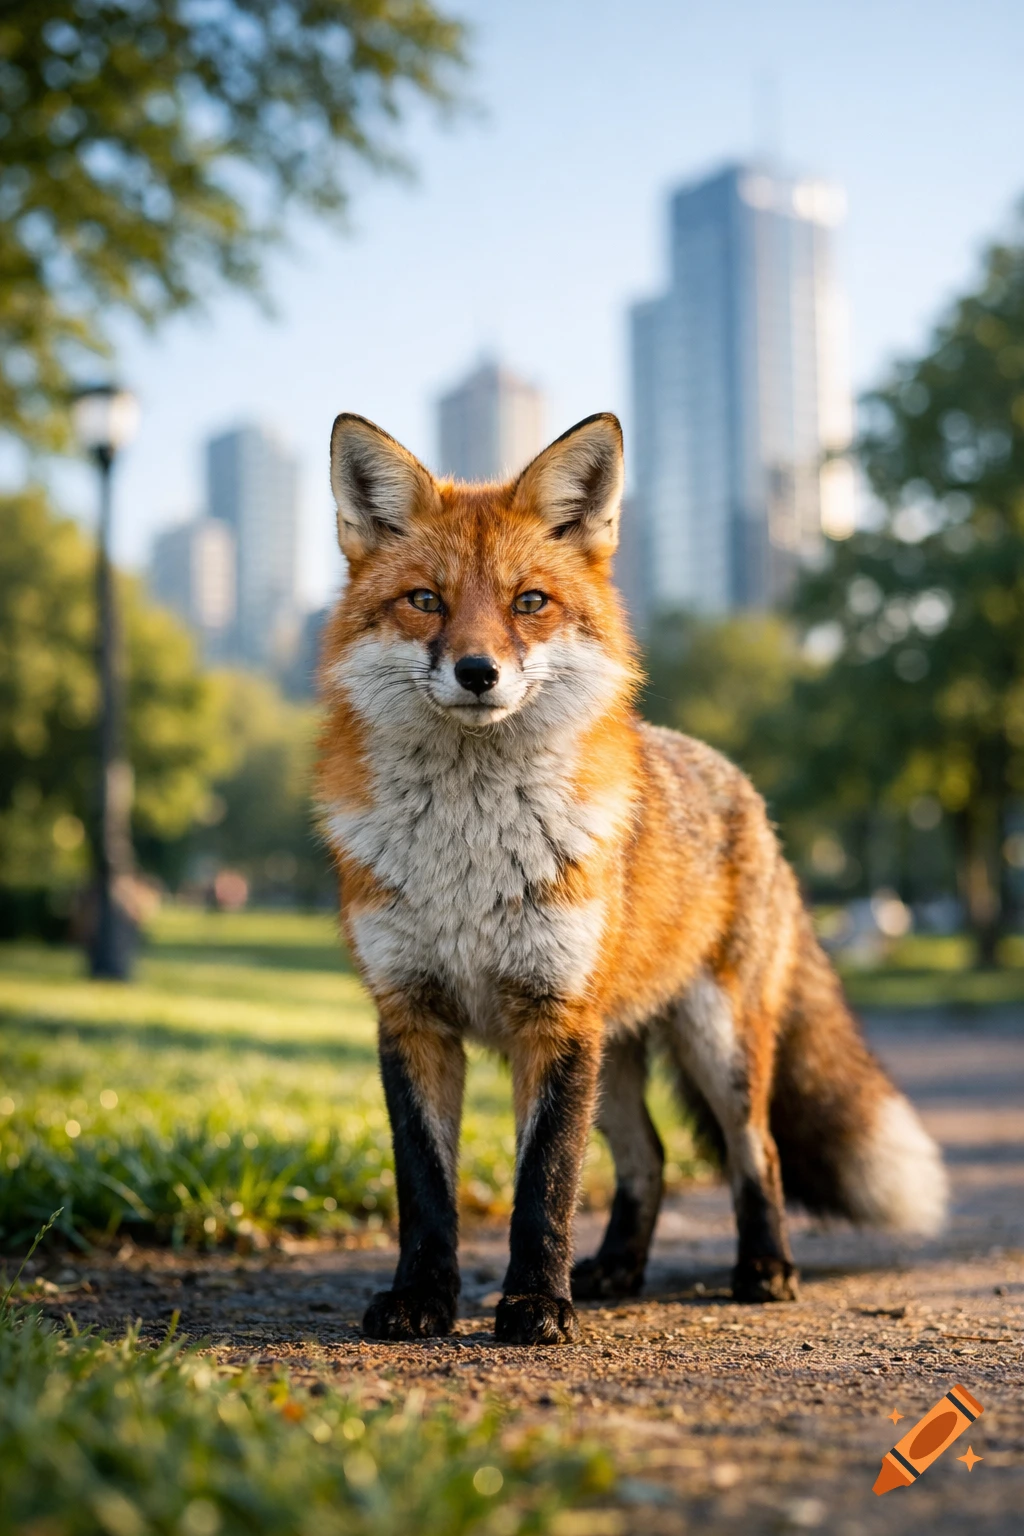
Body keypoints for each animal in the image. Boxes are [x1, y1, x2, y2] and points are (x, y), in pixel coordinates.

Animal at [316, 410, 948, 1346]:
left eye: (529, 603)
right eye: (425, 600)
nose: (478, 673)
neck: (467, 858)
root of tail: (745, 789)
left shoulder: (555, 1021)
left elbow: (543, 1187)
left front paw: (536, 1306)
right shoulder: (413, 1017)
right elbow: (426, 1189)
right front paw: (423, 1300)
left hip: (714, 1044)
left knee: (755, 1151)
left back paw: (764, 1268)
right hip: (610, 1061)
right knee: (647, 1158)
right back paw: (618, 1267)